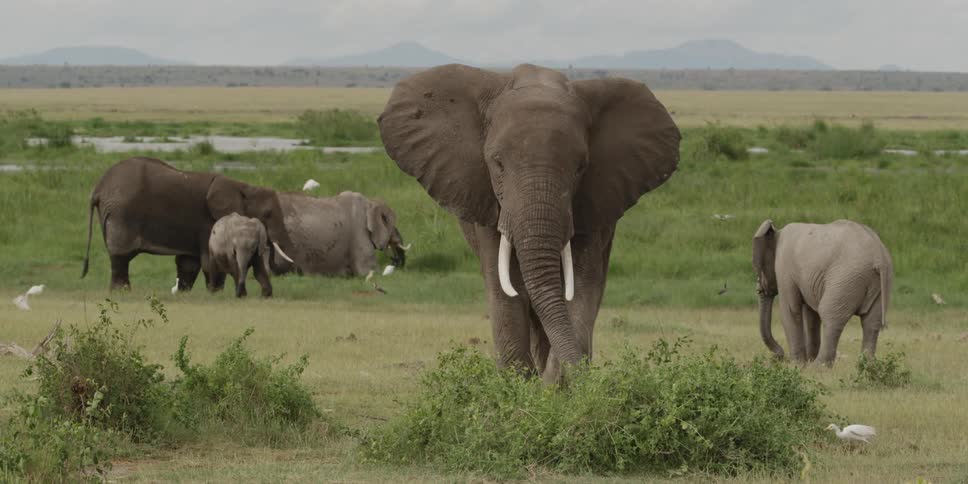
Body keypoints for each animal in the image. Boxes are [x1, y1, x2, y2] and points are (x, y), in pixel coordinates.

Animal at [81, 157, 295, 290]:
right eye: (268, 214)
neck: (242, 186)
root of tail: (98, 188)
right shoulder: (208, 222)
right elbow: (209, 260)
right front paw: (215, 293)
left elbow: (188, 264)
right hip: (121, 214)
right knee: (121, 257)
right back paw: (122, 292)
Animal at [378, 63, 680, 382]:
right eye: (497, 163)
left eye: (581, 167)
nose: (587, 379)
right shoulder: (488, 199)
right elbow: (505, 290)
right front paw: (520, 386)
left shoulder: (591, 203)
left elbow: (580, 288)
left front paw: (556, 384)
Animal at [753, 219, 894, 366]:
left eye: (757, 267)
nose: (778, 357)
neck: (777, 233)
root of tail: (879, 258)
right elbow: (810, 316)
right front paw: (806, 362)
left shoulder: (784, 269)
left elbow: (790, 312)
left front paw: (797, 365)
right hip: (879, 281)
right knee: (871, 322)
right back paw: (866, 366)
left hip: (846, 278)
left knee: (830, 316)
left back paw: (818, 366)